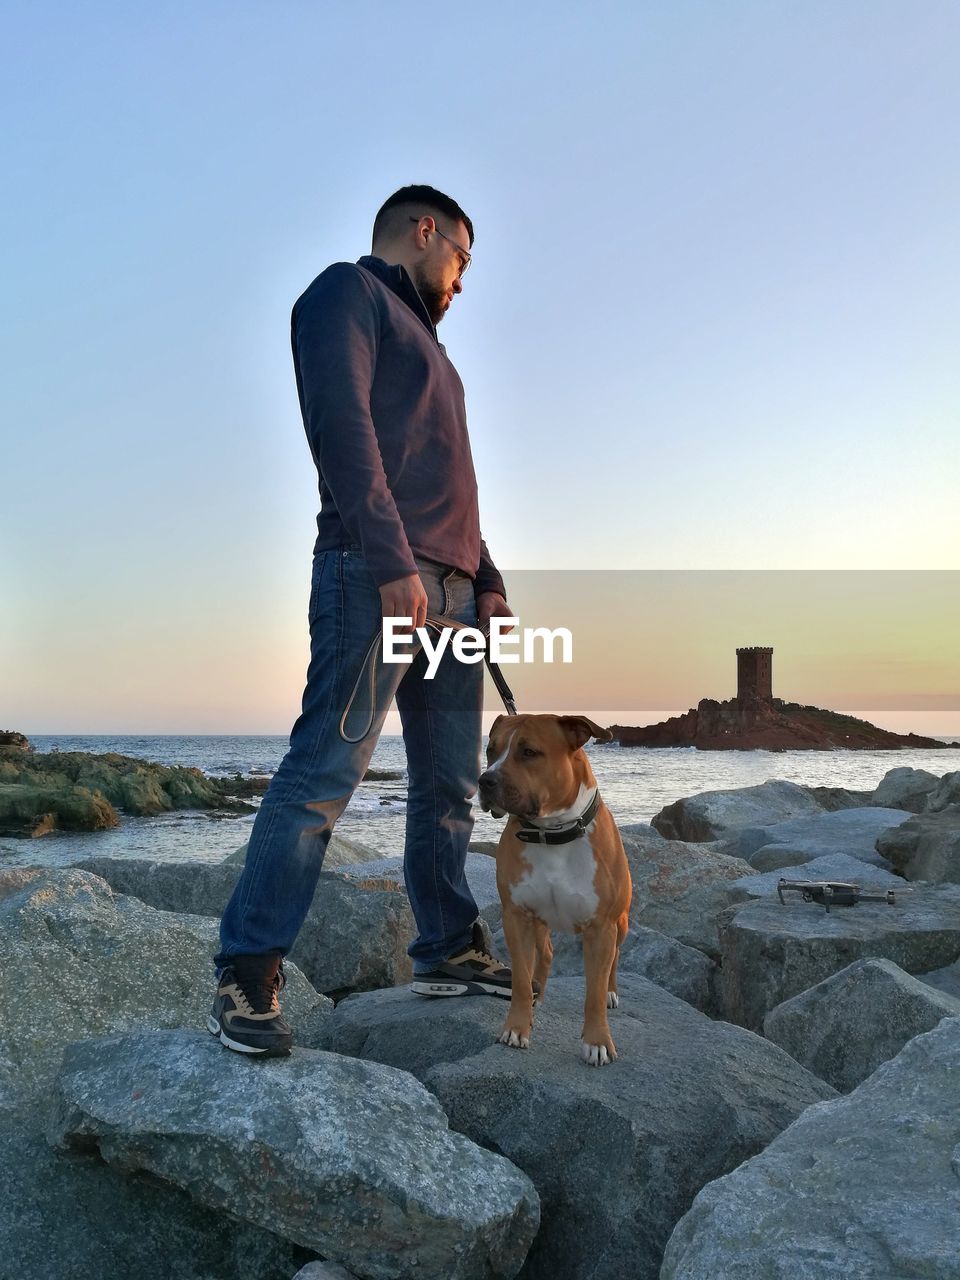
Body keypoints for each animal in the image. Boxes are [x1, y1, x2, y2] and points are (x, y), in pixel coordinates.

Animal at [478, 716, 632, 1064]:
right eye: (490, 750)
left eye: (529, 752)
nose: (484, 780)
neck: (552, 833)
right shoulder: (517, 916)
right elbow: (521, 980)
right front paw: (517, 1028)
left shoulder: (601, 927)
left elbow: (594, 992)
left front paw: (597, 1041)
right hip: (539, 921)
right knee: (545, 954)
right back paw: (540, 992)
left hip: (621, 923)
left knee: (615, 959)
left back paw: (612, 992)